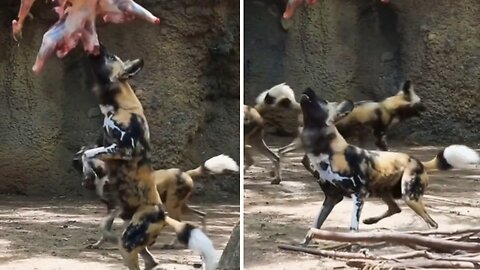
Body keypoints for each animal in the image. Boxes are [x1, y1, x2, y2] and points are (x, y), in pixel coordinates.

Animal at [82, 45, 218, 268]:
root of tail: (161, 215)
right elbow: (89, 154)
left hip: (129, 242)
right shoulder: (108, 148)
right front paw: (89, 175)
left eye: (109, 56)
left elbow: (88, 152)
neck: (120, 106)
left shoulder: (123, 150)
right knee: (152, 261)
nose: (98, 46)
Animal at [298, 88, 478, 247]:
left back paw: (430, 239)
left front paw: (352, 244)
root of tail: (418, 161)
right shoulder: (331, 198)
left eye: (322, 101)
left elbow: (353, 228)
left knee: (432, 223)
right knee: (395, 208)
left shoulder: (359, 195)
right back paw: (372, 221)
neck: (327, 152)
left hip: (409, 196)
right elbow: (315, 225)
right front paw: (305, 243)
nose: (308, 89)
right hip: (383, 191)